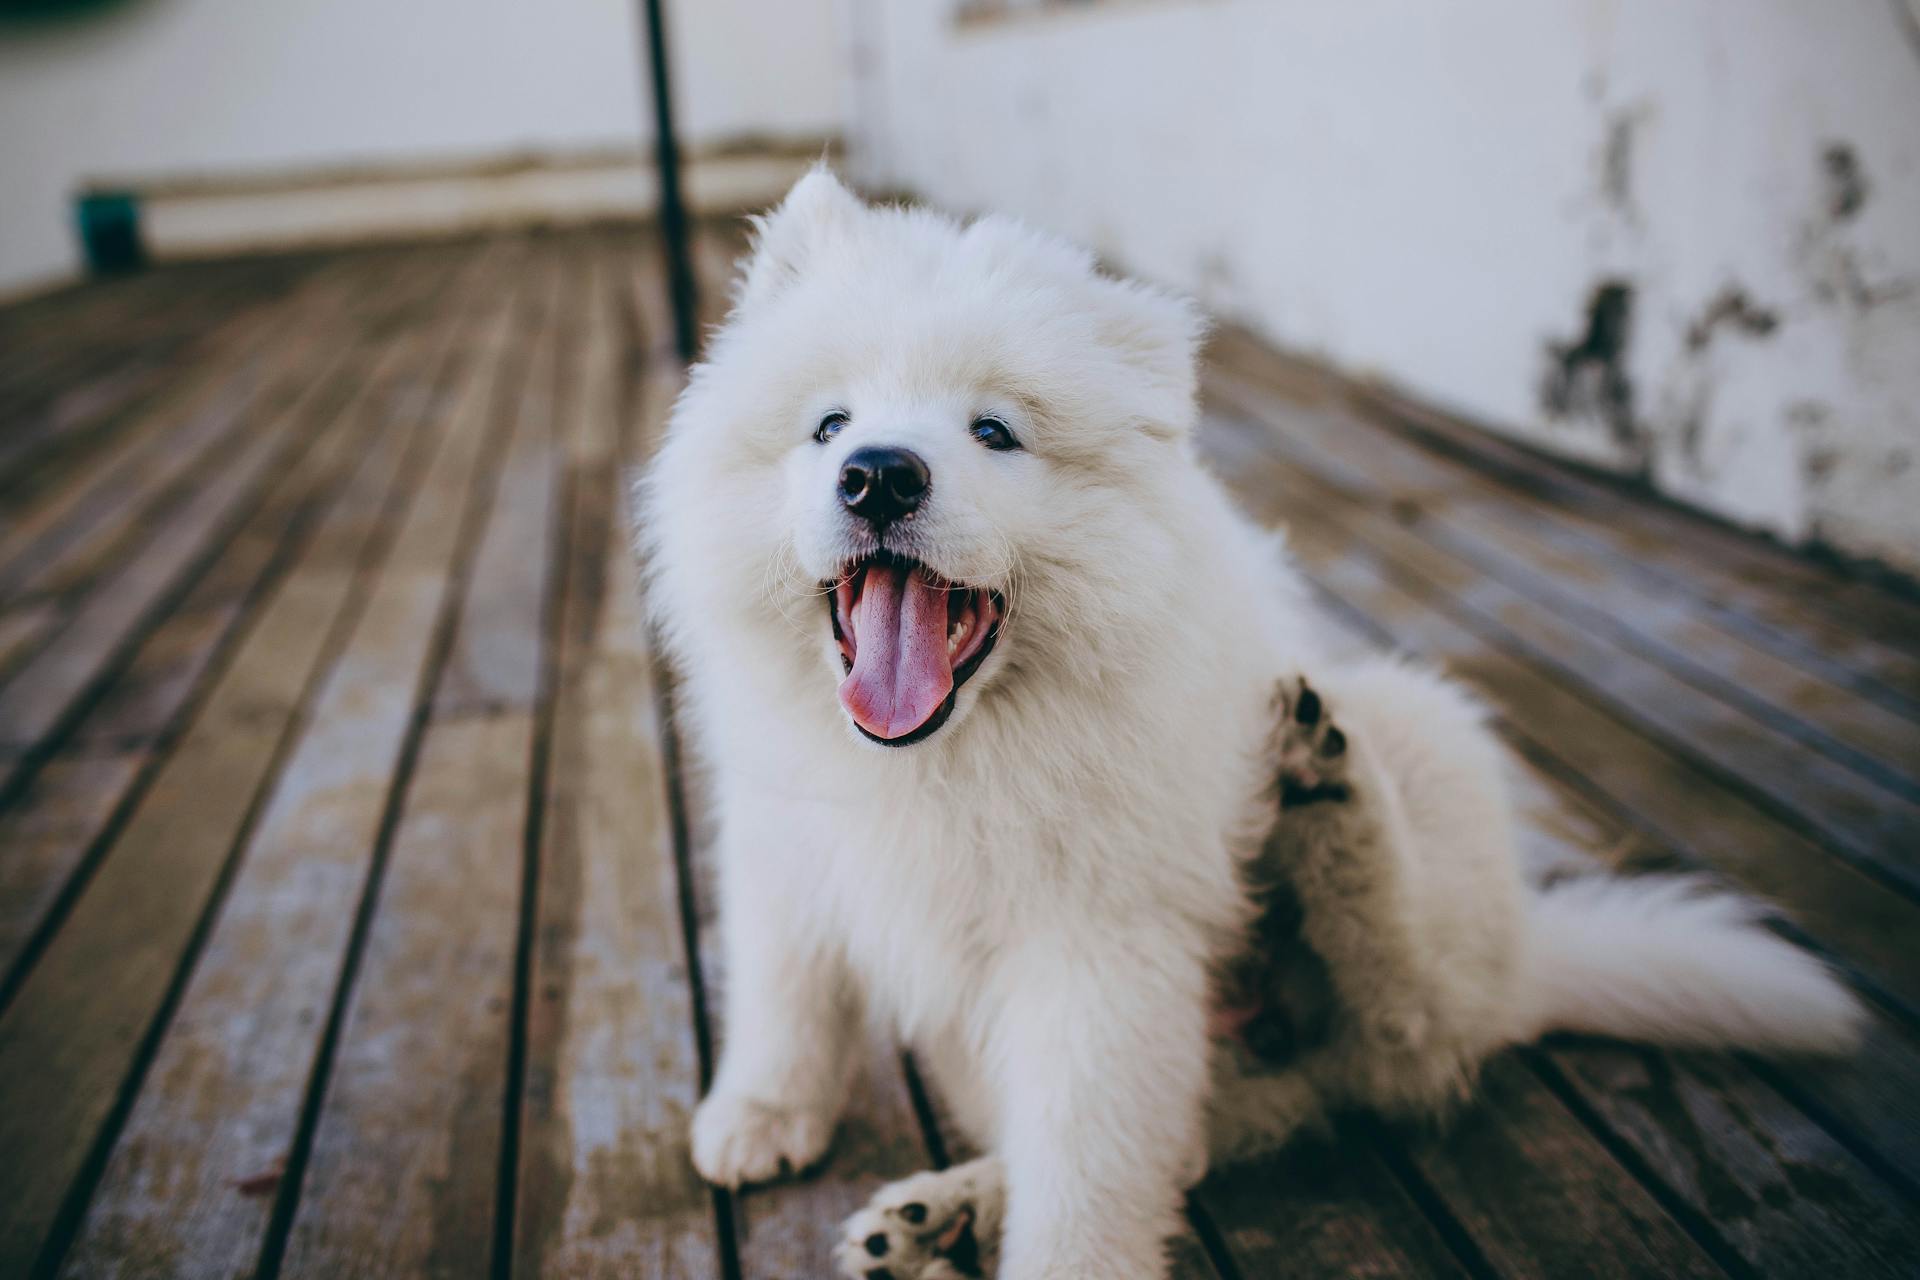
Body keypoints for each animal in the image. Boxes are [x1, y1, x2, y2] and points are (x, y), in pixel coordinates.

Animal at [641, 172, 1858, 1280]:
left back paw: (1327, 789)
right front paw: (760, 1116)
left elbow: (1086, 1177)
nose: (879, 474)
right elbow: (786, 993)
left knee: (1415, 1020)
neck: (949, 752)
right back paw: (935, 1215)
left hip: (1426, 732)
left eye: (994, 432)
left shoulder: (1100, 949)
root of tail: (1528, 967)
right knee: (1198, 1142)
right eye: (829, 425)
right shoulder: (786, 844)